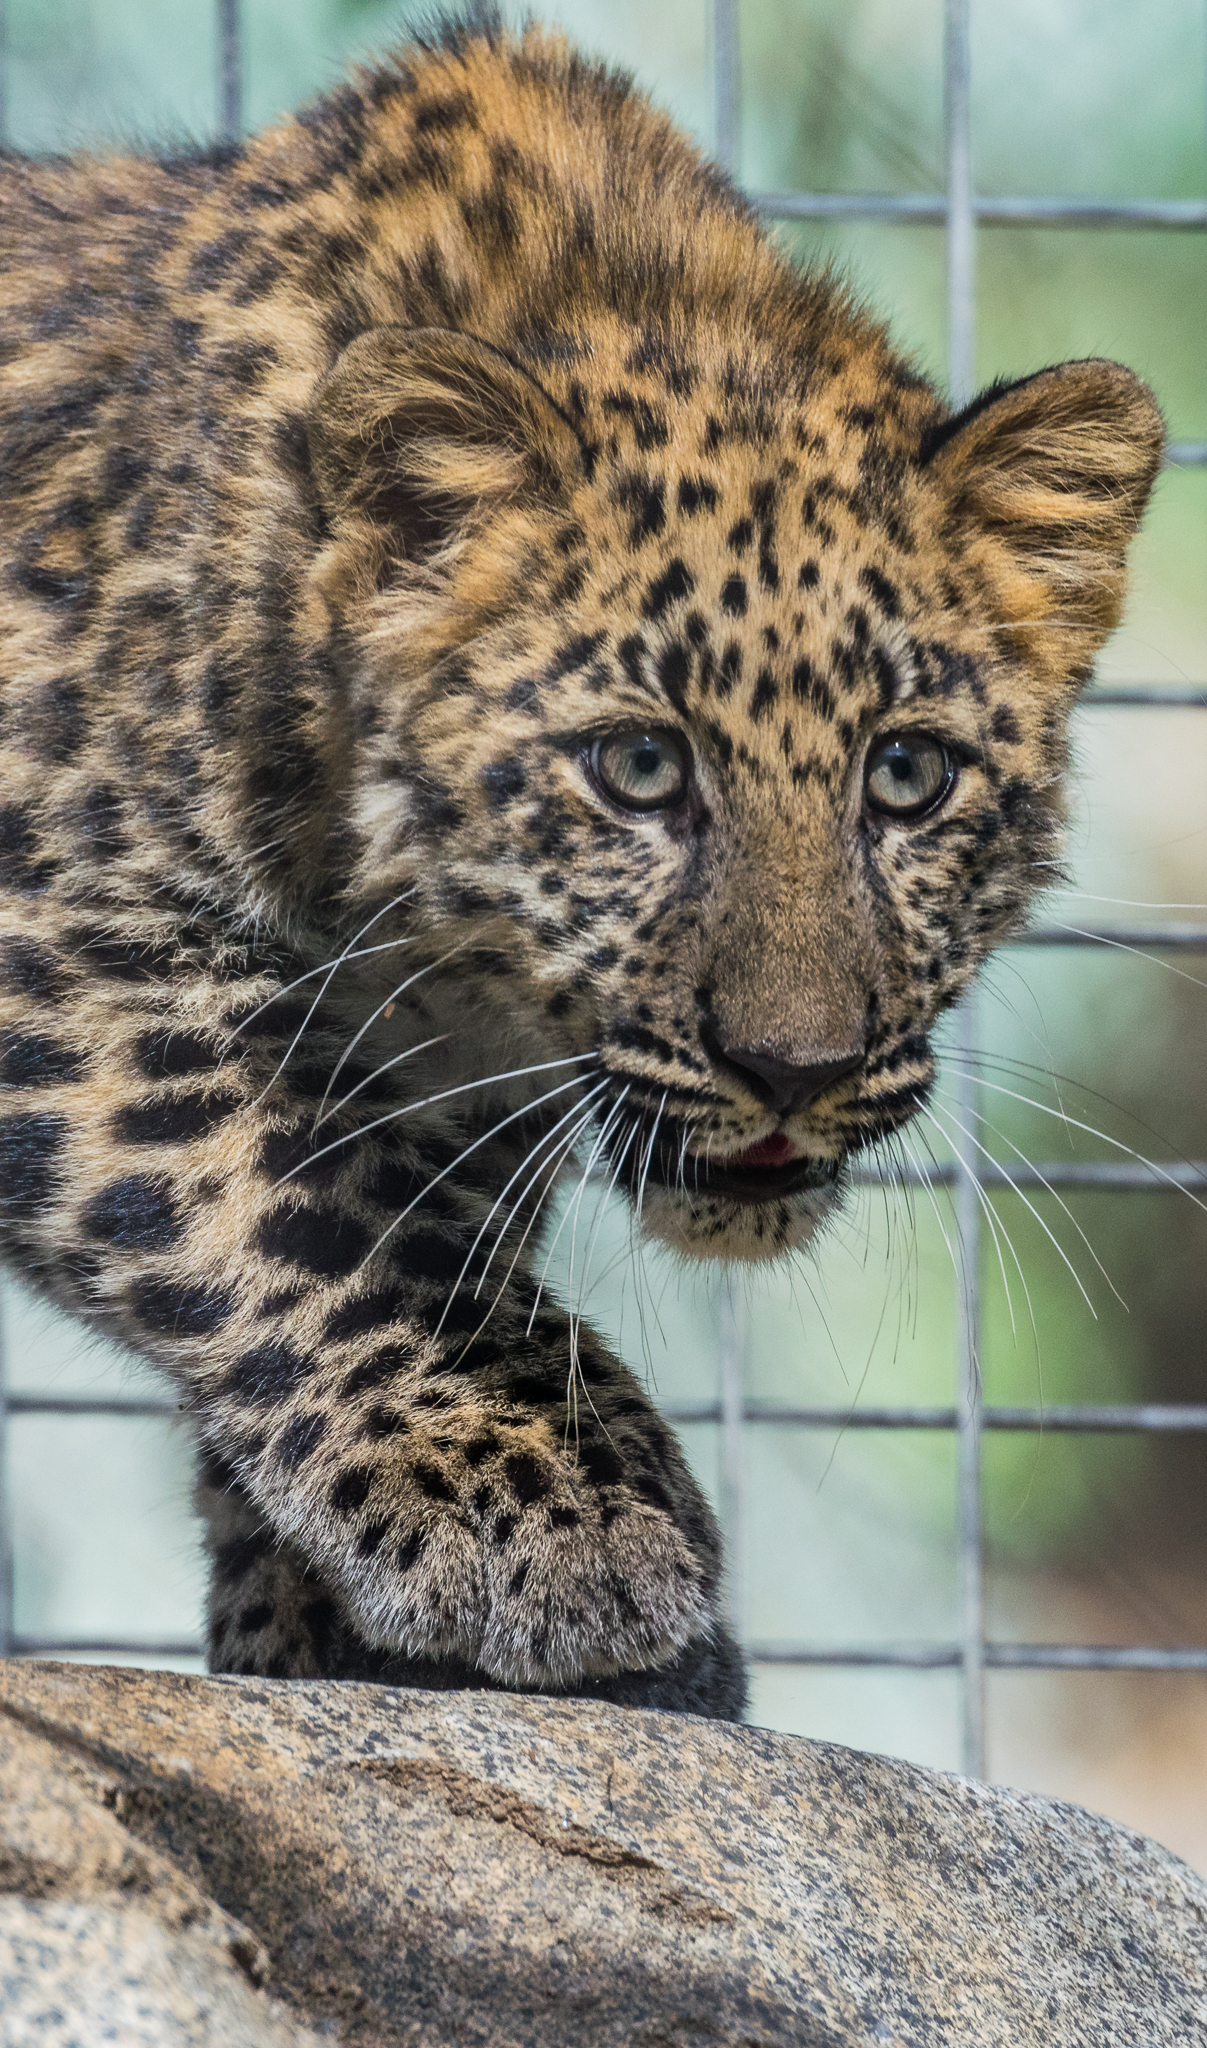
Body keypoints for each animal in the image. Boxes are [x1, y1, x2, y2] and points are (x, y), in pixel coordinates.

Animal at [0, 9, 1163, 1720]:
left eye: (904, 776)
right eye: (637, 769)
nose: (793, 1070)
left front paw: (334, 1634)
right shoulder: (61, 935)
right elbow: (304, 1200)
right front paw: (559, 1517)